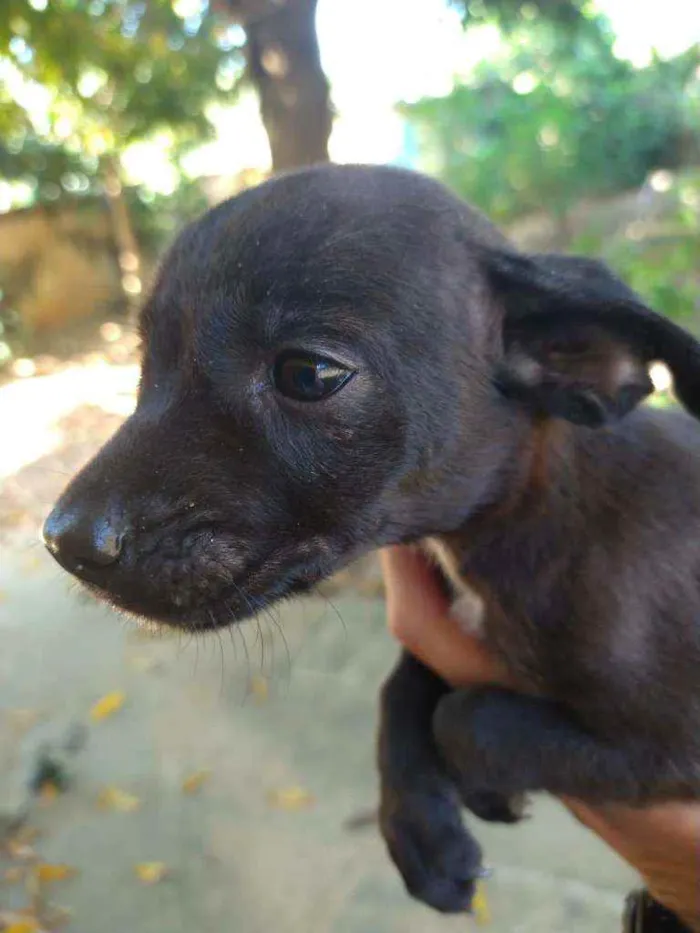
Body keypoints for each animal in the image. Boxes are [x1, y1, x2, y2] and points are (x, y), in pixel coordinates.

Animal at [43, 167, 700, 916]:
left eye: (310, 373)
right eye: (147, 364)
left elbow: (467, 715)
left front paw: (476, 786)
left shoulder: (675, 746)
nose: (64, 542)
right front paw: (419, 825)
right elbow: (404, 686)